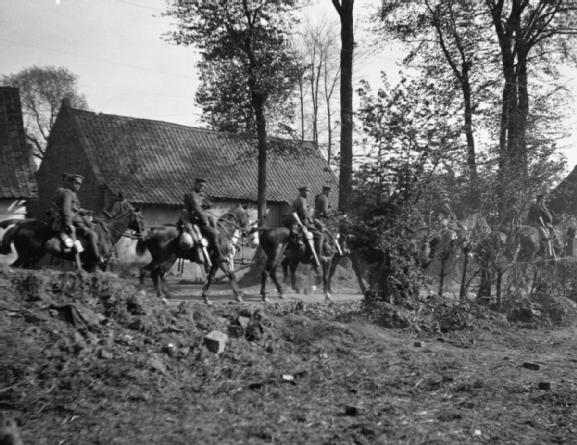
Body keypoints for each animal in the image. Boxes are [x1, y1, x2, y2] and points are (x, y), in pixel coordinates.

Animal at [0, 199, 144, 274]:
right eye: (140, 217)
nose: (143, 233)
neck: (107, 232)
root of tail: (20, 225)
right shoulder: (94, 264)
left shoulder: (90, 265)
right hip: (29, 257)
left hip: (28, 257)